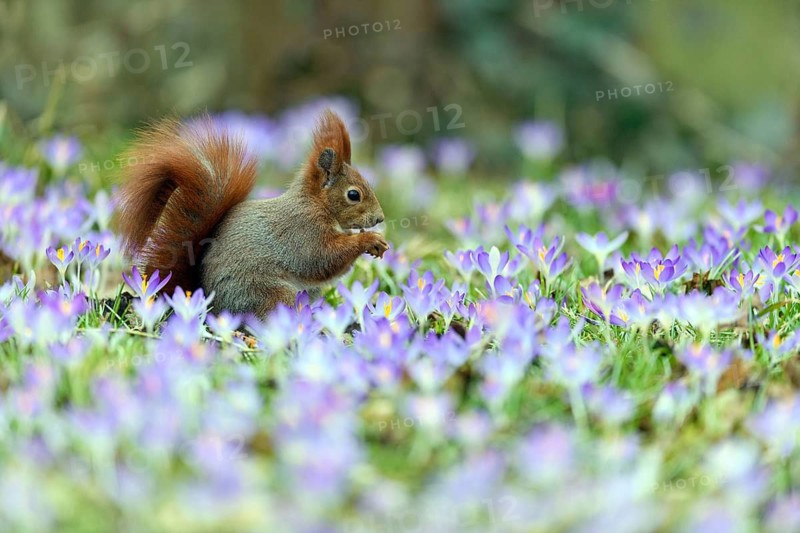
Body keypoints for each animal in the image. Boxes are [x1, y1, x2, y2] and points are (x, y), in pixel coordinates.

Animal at [115, 109, 388, 317]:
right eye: (353, 195)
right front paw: (369, 240)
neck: (316, 204)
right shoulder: (302, 230)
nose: (380, 219)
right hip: (269, 293)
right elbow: (321, 259)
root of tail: (208, 303)